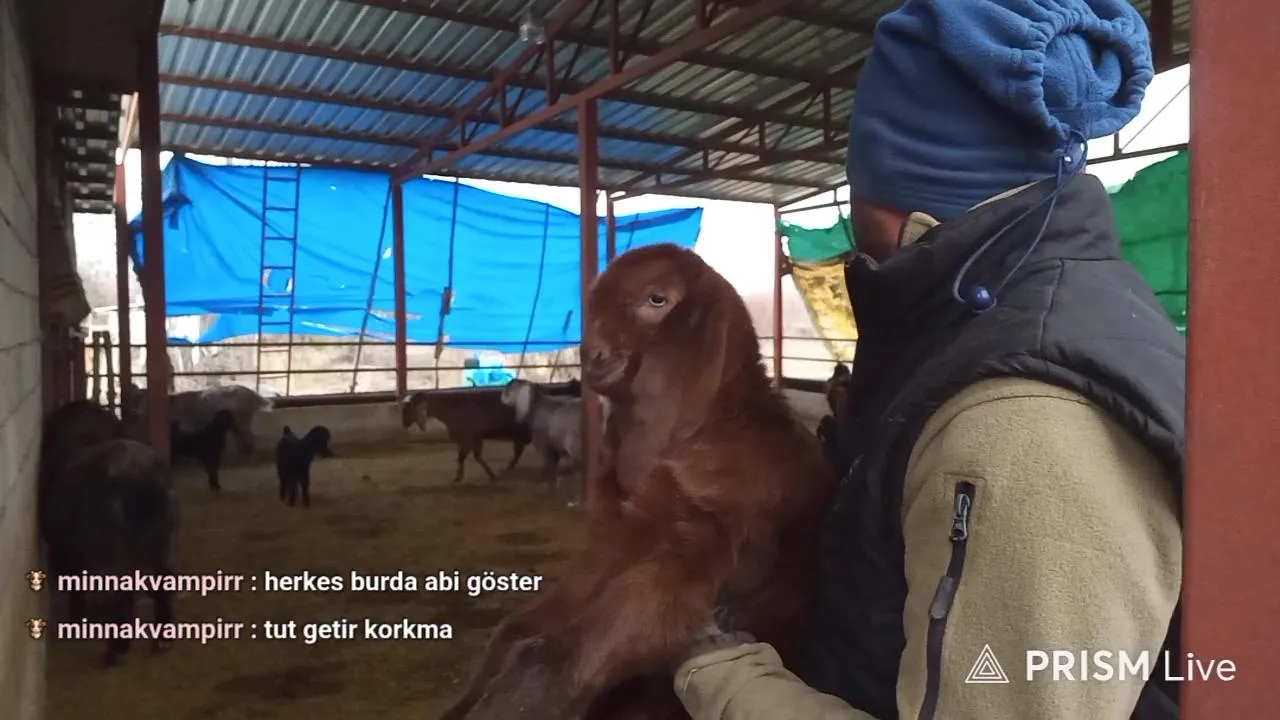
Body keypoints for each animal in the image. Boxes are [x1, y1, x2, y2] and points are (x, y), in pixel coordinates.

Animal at [44, 437, 179, 667]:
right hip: (163, 541)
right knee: (162, 585)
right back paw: (161, 641)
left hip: (111, 553)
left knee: (115, 594)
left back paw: (116, 652)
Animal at [440, 243, 836, 720]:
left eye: (656, 299)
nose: (591, 353)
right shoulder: (616, 537)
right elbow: (518, 628)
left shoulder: (700, 550)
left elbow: (559, 652)